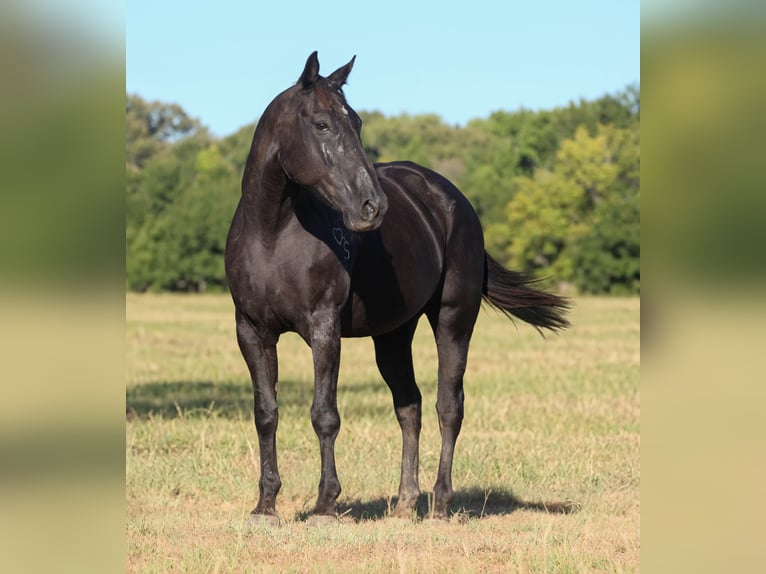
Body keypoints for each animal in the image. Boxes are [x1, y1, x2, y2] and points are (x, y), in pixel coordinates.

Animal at [225, 52, 569, 525]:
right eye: (322, 124)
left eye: (357, 122)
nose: (373, 206)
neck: (272, 234)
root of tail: (454, 200)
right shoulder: (252, 330)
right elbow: (266, 413)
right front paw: (265, 506)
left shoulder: (324, 328)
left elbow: (324, 414)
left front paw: (325, 506)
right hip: (392, 336)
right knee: (410, 406)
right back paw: (406, 503)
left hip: (453, 322)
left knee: (448, 406)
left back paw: (440, 503)